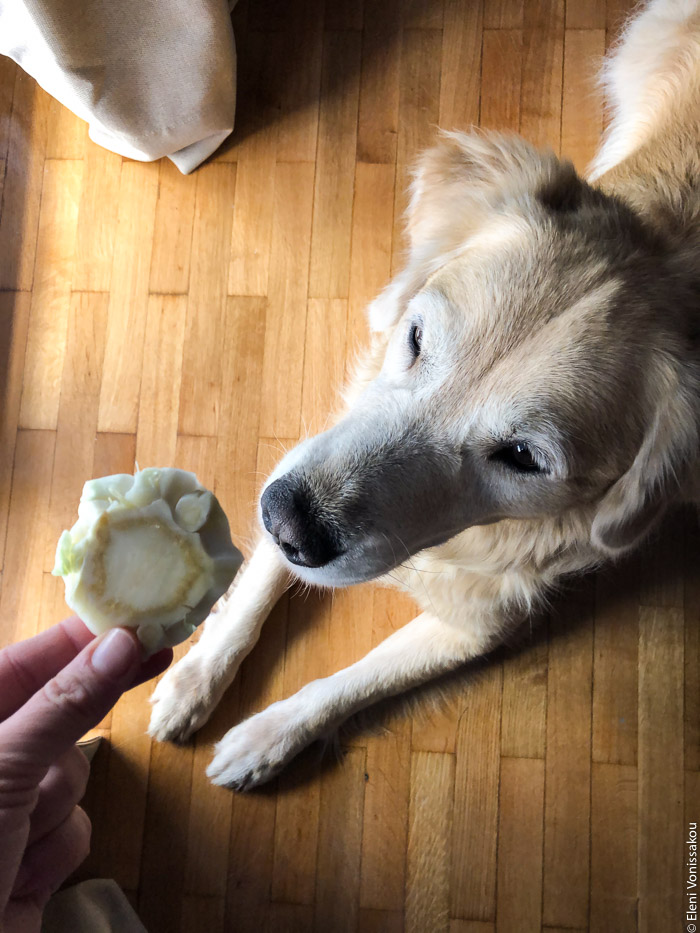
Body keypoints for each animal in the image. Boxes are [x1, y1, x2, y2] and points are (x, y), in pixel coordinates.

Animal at [145, 0, 696, 788]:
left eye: (524, 457)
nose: (289, 522)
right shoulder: (322, 438)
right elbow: (255, 586)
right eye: (414, 336)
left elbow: (350, 681)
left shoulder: (485, 620)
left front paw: (266, 738)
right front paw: (195, 677)